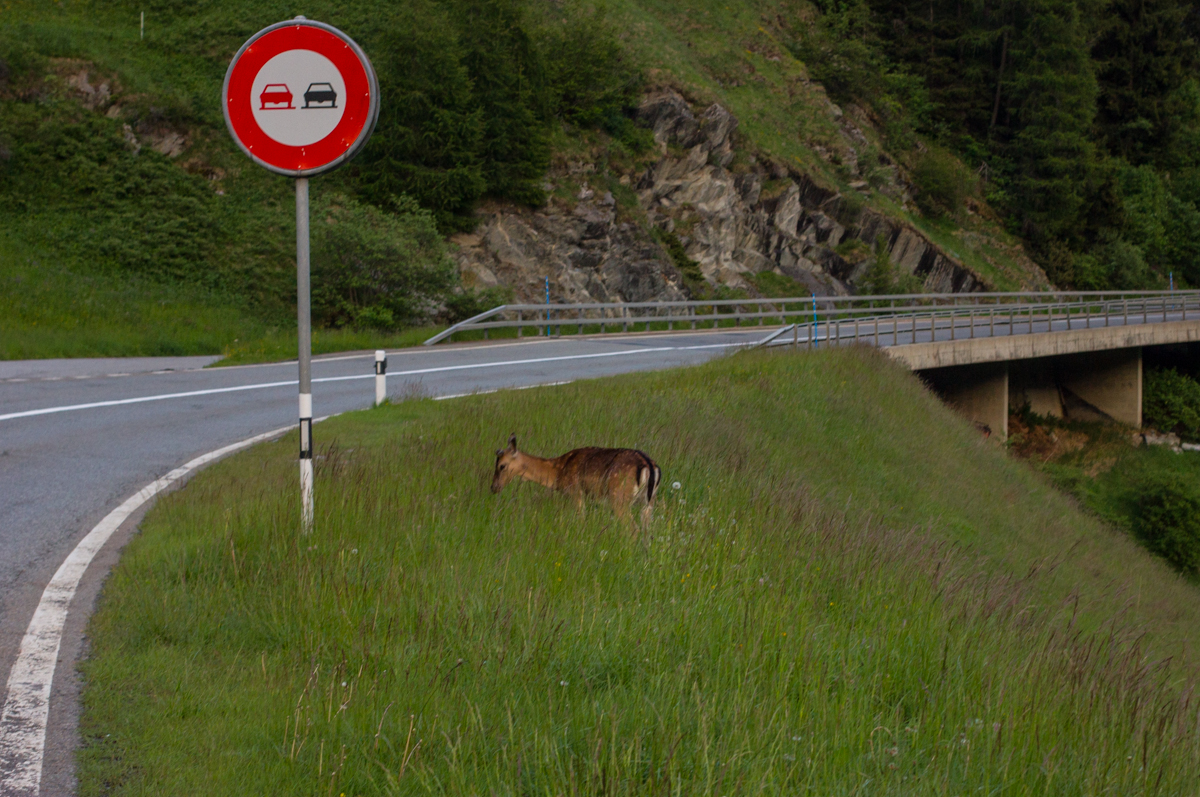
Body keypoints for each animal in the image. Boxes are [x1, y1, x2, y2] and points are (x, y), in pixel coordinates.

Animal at [489, 432, 667, 525]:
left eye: (502, 466)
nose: (494, 487)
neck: (558, 472)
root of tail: (649, 466)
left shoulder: (575, 491)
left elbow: (580, 519)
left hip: (619, 496)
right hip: (649, 501)